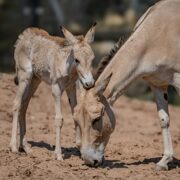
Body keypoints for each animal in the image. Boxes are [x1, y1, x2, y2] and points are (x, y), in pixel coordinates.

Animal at [8, 24, 95, 160]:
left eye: (92, 59)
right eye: (77, 60)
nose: (89, 83)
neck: (67, 66)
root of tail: (24, 35)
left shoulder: (71, 88)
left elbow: (75, 114)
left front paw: (81, 149)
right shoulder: (56, 89)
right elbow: (59, 119)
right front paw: (58, 154)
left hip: (35, 80)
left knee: (24, 105)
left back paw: (25, 147)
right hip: (24, 77)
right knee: (16, 103)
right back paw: (13, 147)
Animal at [74, 0, 179, 170]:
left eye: (96, 119)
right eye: (76, 120)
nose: (90, 161)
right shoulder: (157, 83)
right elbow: (164, 119)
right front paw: (164, 161)